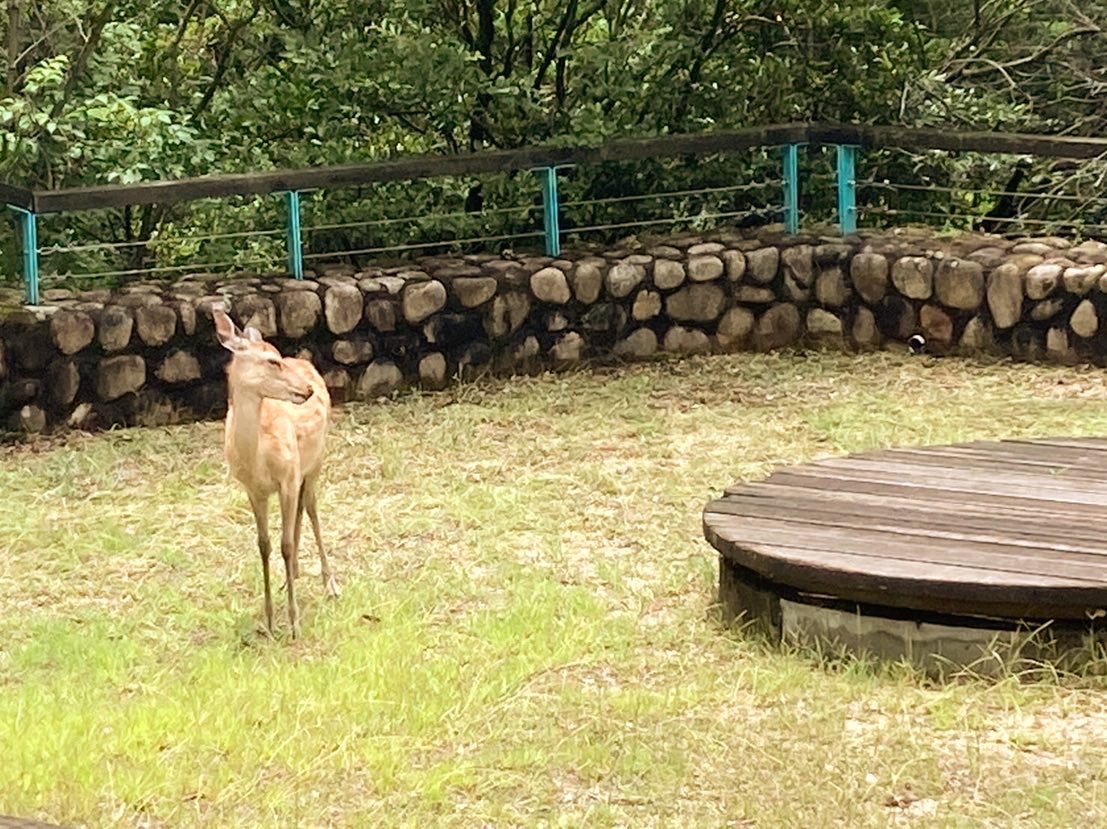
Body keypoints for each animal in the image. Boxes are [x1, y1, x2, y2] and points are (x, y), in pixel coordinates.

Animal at [213, 307, 338, 637]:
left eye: (278, 355)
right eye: (272, 361)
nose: (306, 389)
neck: (257, 459)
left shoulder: (288, 476)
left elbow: (285, 544)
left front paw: (294, 623)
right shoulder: (252, 489)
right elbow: (265, 546)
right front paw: (269, 621)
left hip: (317, 458)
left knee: (311, 507)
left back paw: (330, 583)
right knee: (300, 512)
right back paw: (291, 576)